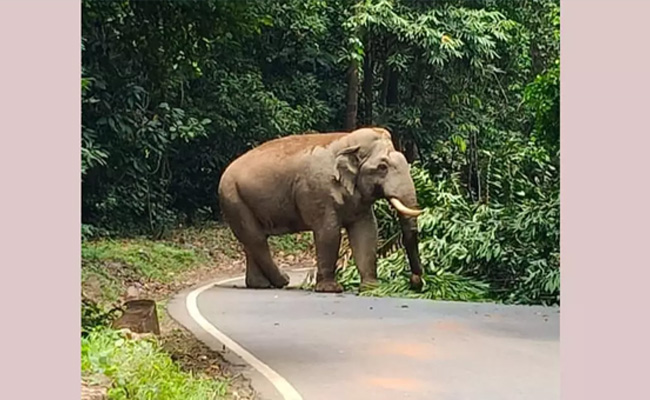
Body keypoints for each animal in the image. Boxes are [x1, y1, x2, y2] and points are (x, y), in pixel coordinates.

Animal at [217, 127, 424, 293]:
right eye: (382, 167)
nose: (416, 281)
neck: (347, 141)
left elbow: (367, 231)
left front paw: (372, 288)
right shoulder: (318, 191)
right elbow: (328, 232)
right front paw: (331, 289)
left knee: (251, 241)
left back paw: (260, 285)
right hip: (233, 197)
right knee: (257, 239)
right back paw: (282, 281)